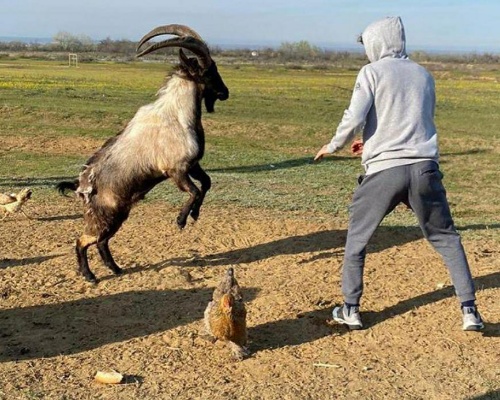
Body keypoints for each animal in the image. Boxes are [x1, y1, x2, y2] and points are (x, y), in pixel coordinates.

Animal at [56, 23, 229, 282]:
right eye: (209, 70)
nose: (225, 92)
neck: (178, 115)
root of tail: (80, 187)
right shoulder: (175, 170)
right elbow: (195, 190)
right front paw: (180, 220)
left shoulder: (193, 165)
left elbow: (206, 183)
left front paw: (195, 214)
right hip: (104, 217)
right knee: (83, 240)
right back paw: (90, 276)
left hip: (119, 215)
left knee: (102, 242)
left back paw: (116, 269)